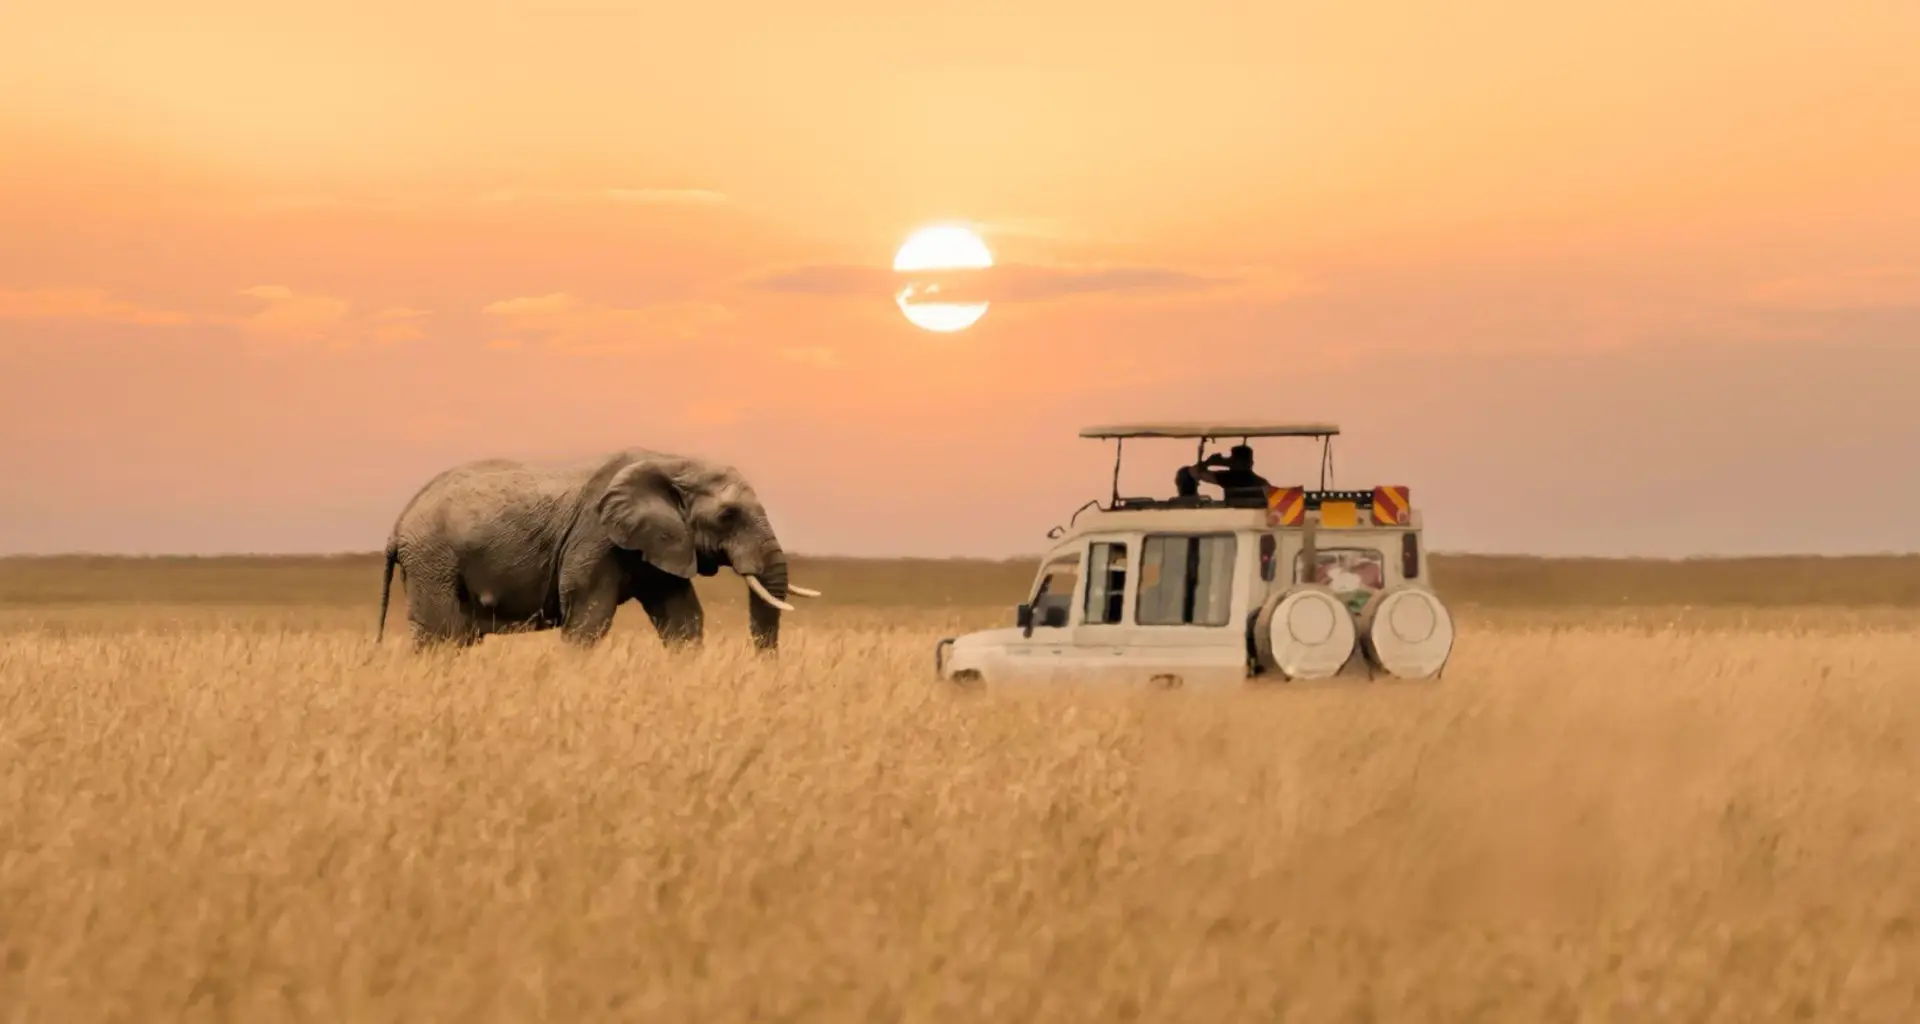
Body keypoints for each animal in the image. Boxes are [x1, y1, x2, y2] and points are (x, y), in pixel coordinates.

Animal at [374, 448, 820, 651]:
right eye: (728, 515)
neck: (671, 463)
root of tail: (398, 523)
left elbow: (682, 619)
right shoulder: (595, 540)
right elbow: (588, 619)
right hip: (434, 560)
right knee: (440, 636)